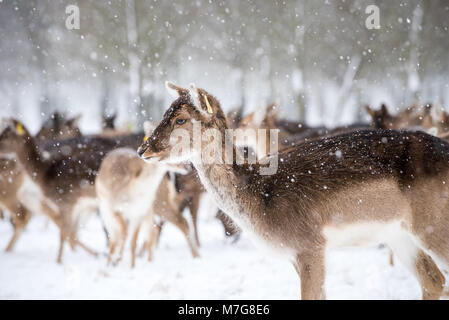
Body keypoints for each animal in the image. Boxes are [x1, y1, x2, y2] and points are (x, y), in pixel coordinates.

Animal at [137, 82, 448, 300]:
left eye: (180, 119)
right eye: (165, 113)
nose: (143, 149)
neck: (259, 200)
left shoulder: (309, 244)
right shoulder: (297, 254)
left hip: (433, 224)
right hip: (399, 234)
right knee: (434, 280)